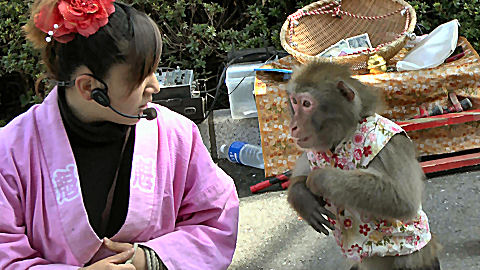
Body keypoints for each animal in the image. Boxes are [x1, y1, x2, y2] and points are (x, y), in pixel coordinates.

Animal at [284, 62, 442, 268]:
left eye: (306, 104)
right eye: (294, 102)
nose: (293, 126)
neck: (343, 135)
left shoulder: (389, 146)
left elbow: (402, 200)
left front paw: (318, 179)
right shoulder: (312, 148)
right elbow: (300, 172)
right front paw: (302, 197)